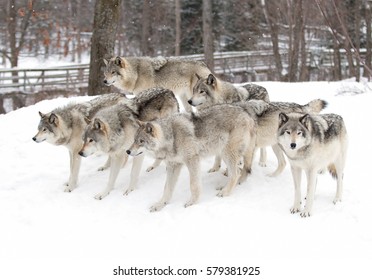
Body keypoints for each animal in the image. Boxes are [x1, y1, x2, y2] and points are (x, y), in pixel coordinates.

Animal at [126, 103, 268, 212]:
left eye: (141, 141)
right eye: (134, 140)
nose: (128, 151)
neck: (172, 137)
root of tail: (248, 115)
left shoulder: (192, 161)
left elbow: (193, 185)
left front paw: (192, 202)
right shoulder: (173, 167)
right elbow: (167, 189)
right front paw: (160, 205)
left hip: (227, 153)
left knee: (236, 173)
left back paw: (225, 192)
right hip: (226, 153)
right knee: (242, 171)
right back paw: (230, 186)